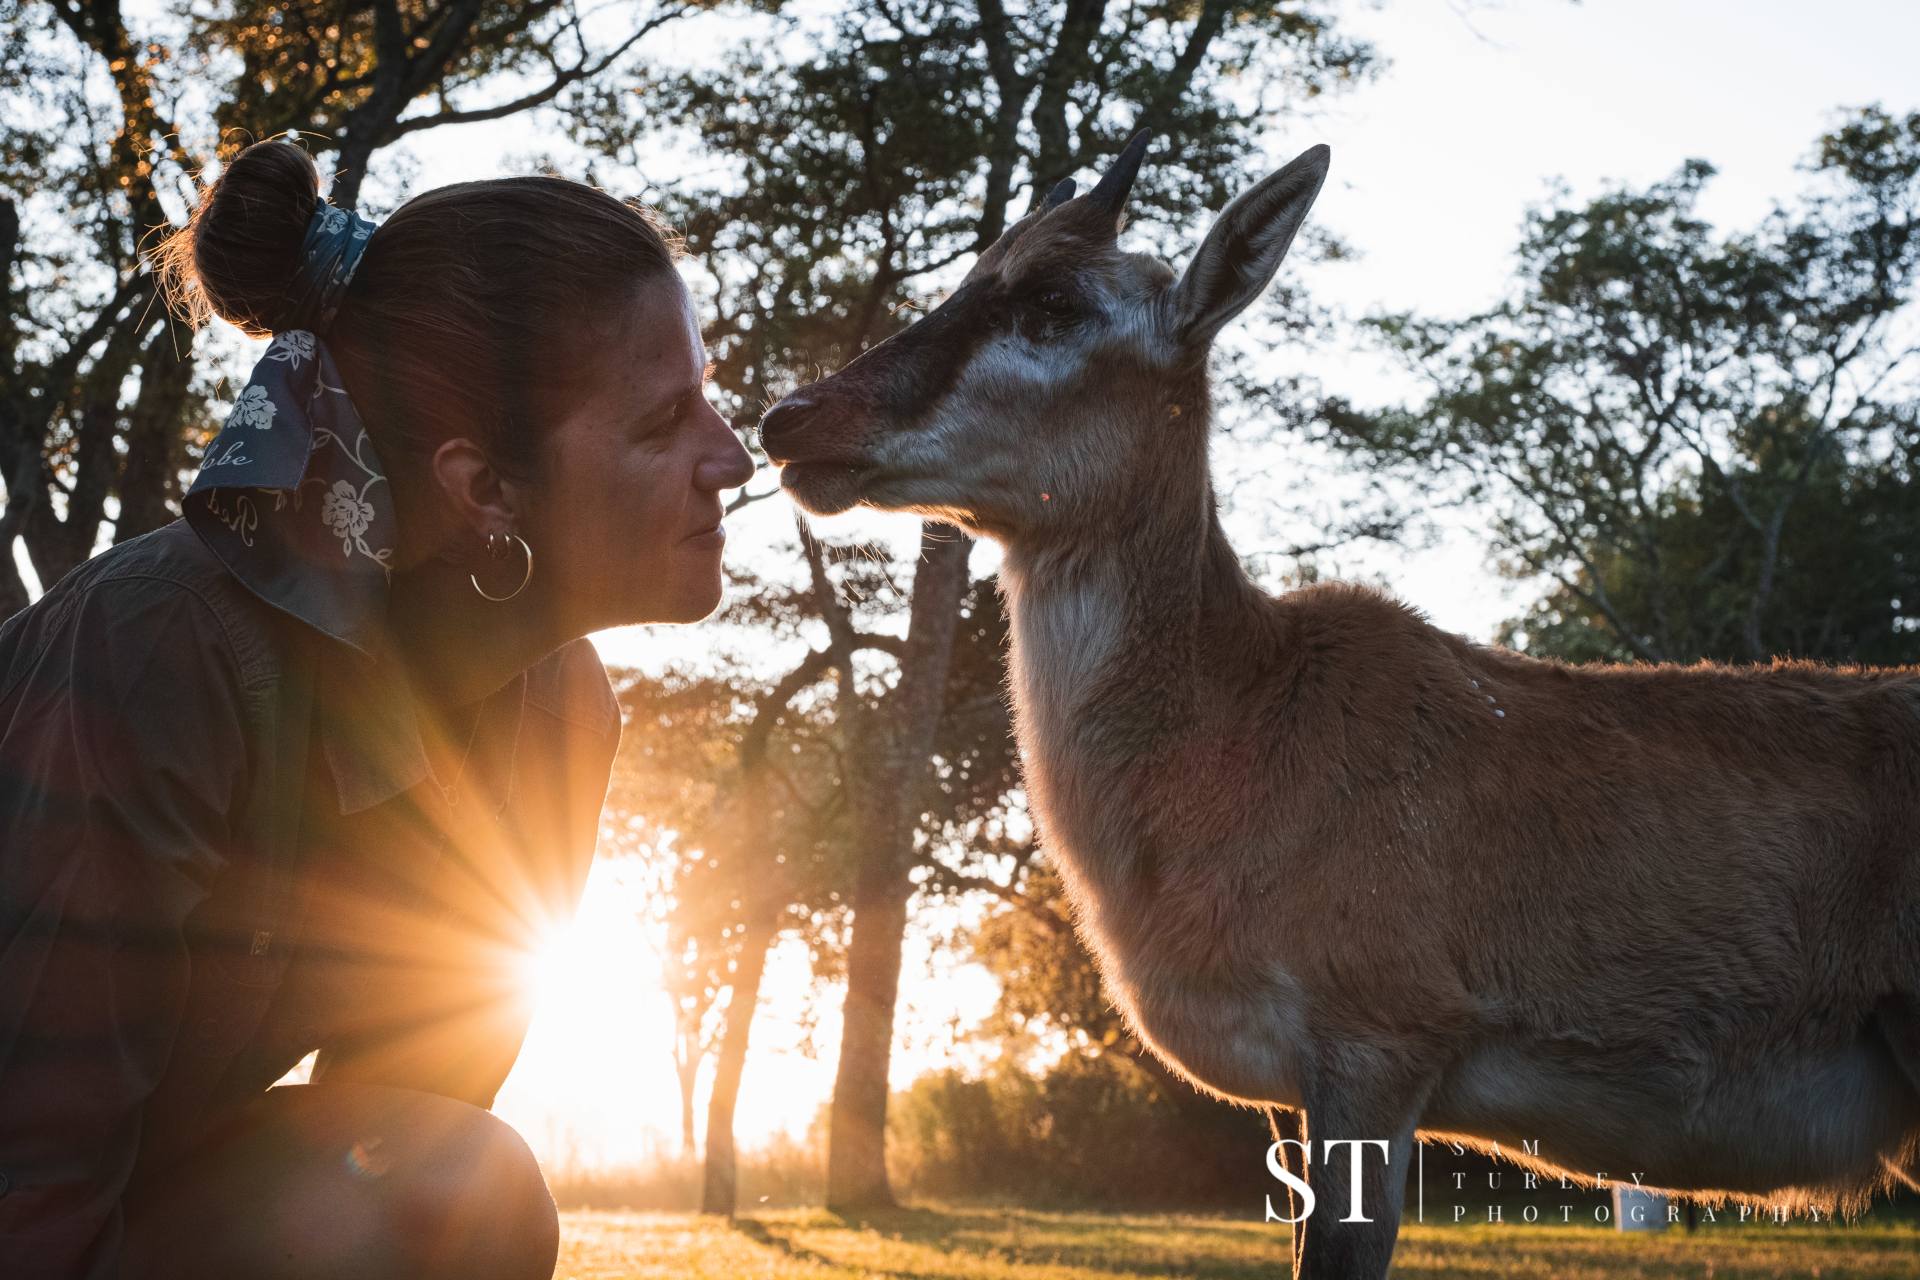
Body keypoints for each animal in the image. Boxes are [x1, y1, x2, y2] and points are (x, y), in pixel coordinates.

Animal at [756, 135, 1920, 1274]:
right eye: (971, 274)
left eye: (1055, 302)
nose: (791, 419)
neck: (1246, 730)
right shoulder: (1295, 1090)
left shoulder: (1379, 1037)